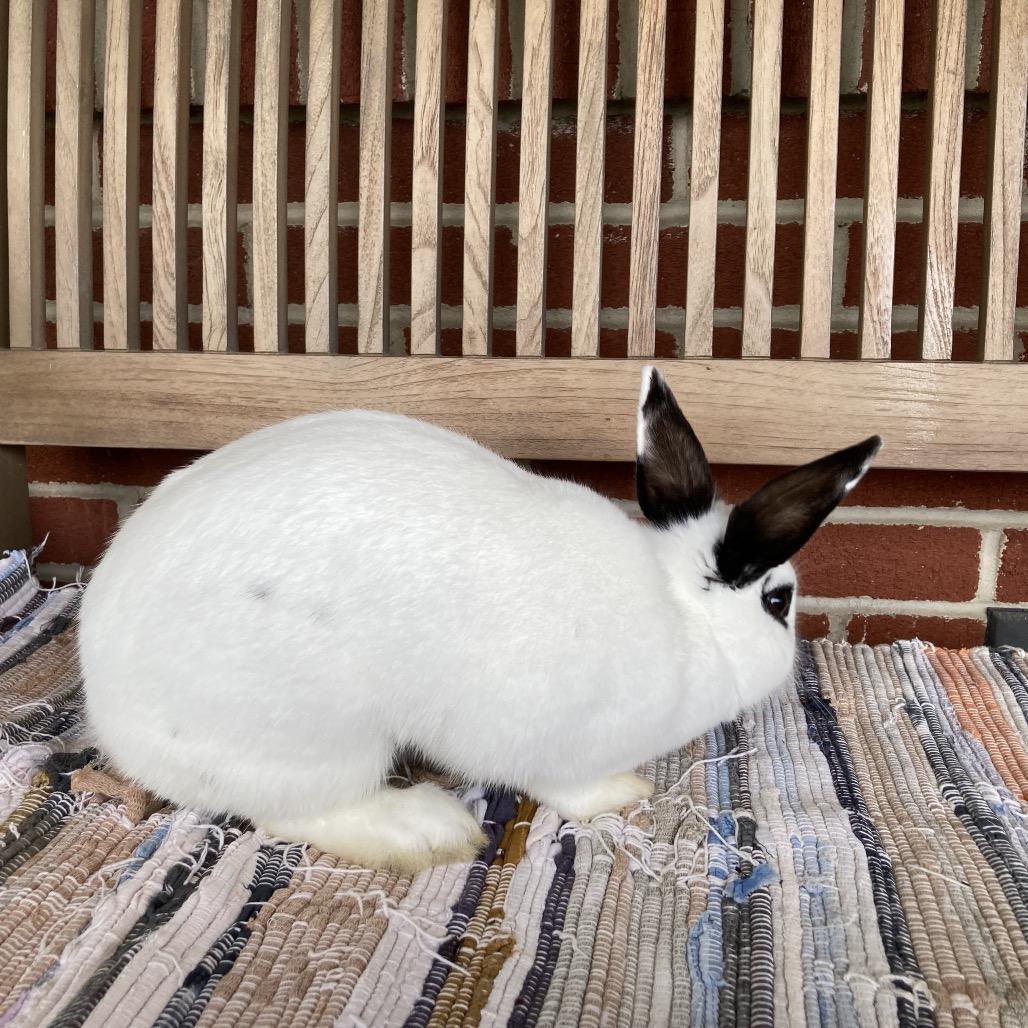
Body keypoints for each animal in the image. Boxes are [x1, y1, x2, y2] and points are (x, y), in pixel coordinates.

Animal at [79, 367, 881, 872]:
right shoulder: (556, 743)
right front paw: (625, 794)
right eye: (778, 601)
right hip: (315, 737)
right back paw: (427, 832)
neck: (685, 615)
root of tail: (111, 716)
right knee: (292, 810)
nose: (794, 658)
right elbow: (567, 787)